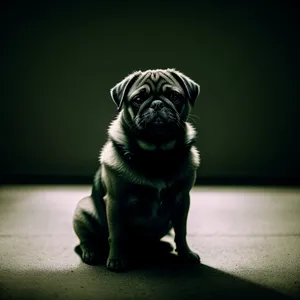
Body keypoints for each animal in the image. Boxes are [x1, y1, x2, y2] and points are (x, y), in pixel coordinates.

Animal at [72, 68, 202, 272]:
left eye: (174, 96)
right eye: (138, 99)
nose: (157, 103)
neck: (157, 154)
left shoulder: (182, 200)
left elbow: (182, 231)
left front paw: (185, 253)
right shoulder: (115, 203)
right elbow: (116, 234)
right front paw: (117, 260)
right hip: (83, 209)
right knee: (86, 240)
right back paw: (91, 252)